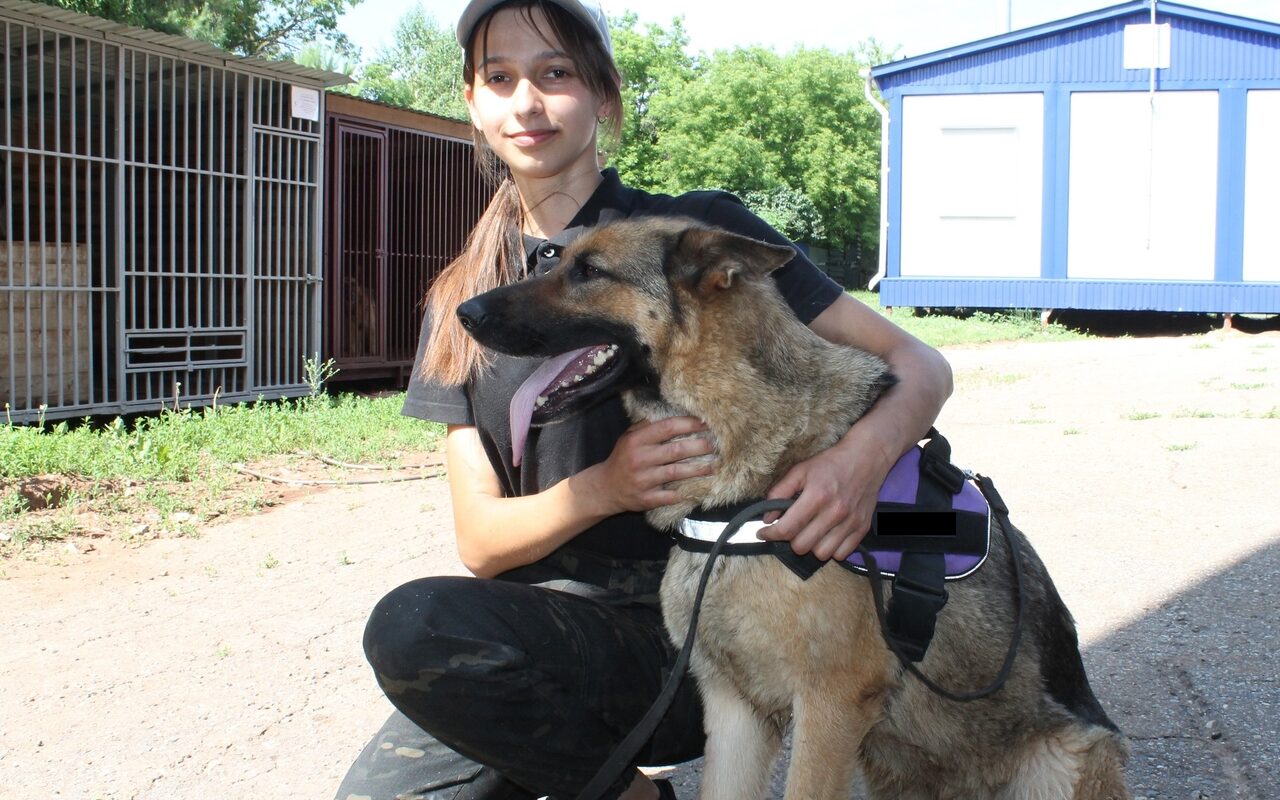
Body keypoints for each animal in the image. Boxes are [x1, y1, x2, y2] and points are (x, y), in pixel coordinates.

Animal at [453, 216, 1131, 798]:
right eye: (558, 261)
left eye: (589, 271)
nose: (463, 311)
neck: (750, 484)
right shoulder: (732, 711)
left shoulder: (831, 706)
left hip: (1066, 759)